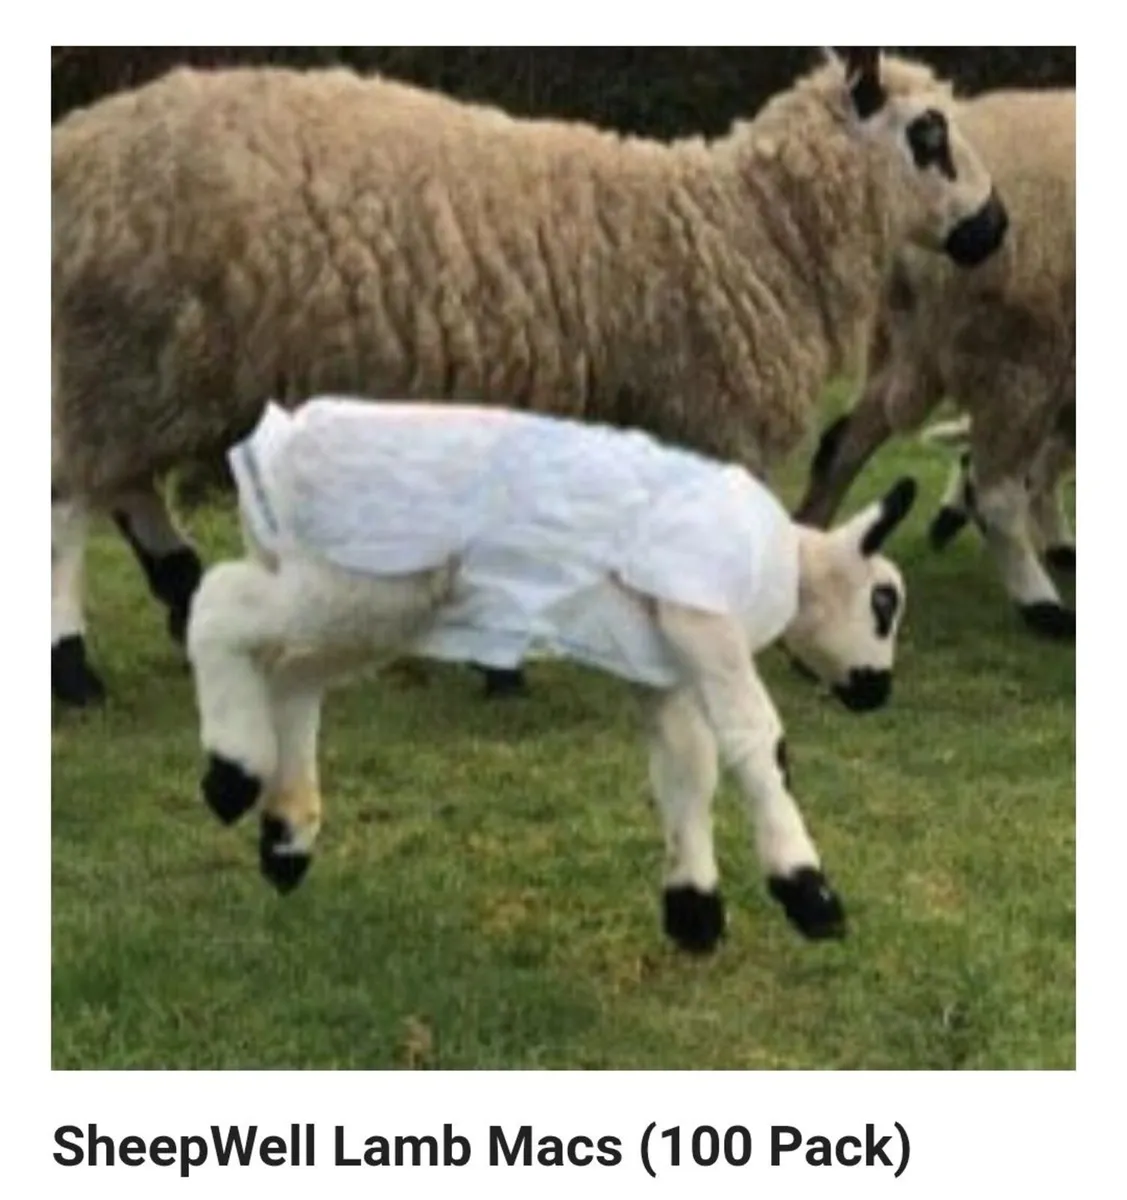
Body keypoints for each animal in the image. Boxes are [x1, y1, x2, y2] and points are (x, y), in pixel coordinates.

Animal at [52, 47, 1007, 707]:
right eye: (927, 134)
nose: (994, 227)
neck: (747, 232)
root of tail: (74, 147)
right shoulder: (706, 414)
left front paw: (506, 661)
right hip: (120, 359)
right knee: (70, 508)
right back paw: (76, 671)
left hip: (149, 373)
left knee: (127, 491)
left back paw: (181, 598)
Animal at [188, 397, 920, 951]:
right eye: (883, 604)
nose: (876, 692)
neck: (785, 566)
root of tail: (283, 449)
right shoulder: (700, 618)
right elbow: (756, 742)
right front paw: (807, 890)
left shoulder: (661, 659)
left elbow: (686, 767)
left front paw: (693, 907)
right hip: (360, 576)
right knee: (217, 606)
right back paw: (231, 772)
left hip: (377, 605)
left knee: (291, 675)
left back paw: (285, 835)